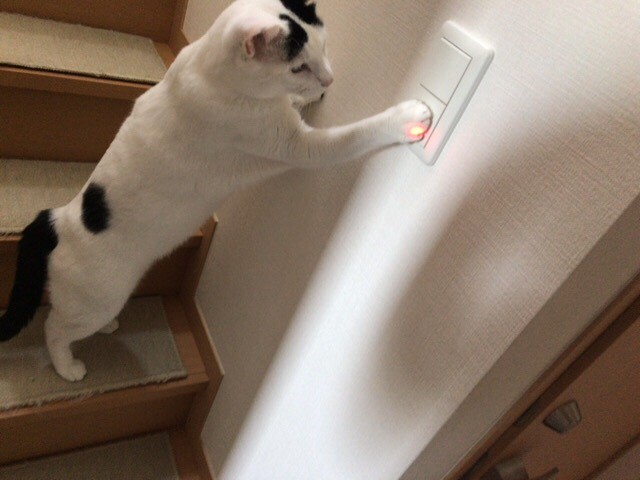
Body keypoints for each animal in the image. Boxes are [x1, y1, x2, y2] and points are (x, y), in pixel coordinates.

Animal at [0, 0, 431, 381]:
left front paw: (306, 96)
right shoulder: (296, 147)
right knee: (54, 328)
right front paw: (406, 118)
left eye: (323, 48)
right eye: (298, 66)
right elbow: (354, 135)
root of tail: (56, 220)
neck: (207, 69)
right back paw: (67, 367)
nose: (329, 80)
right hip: (97, 299)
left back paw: (107, 328)